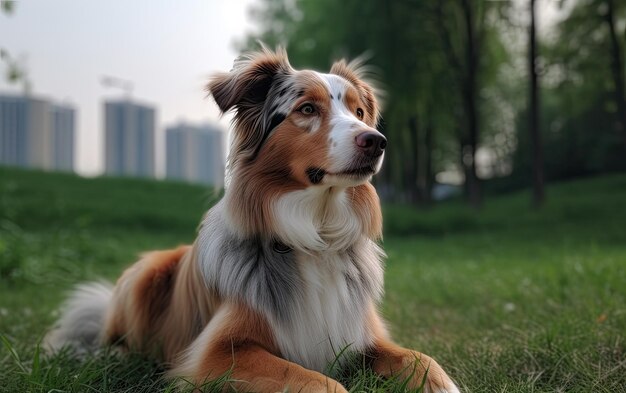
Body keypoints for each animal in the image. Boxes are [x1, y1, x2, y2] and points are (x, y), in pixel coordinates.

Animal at [46, 47, 458, 390]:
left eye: (359, 113)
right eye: (307, 109)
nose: (376, 141)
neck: (316, 236)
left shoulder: (362, 336)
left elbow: (422, 360)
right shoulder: (216, 353)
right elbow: (317, 381)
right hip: (146, 271)